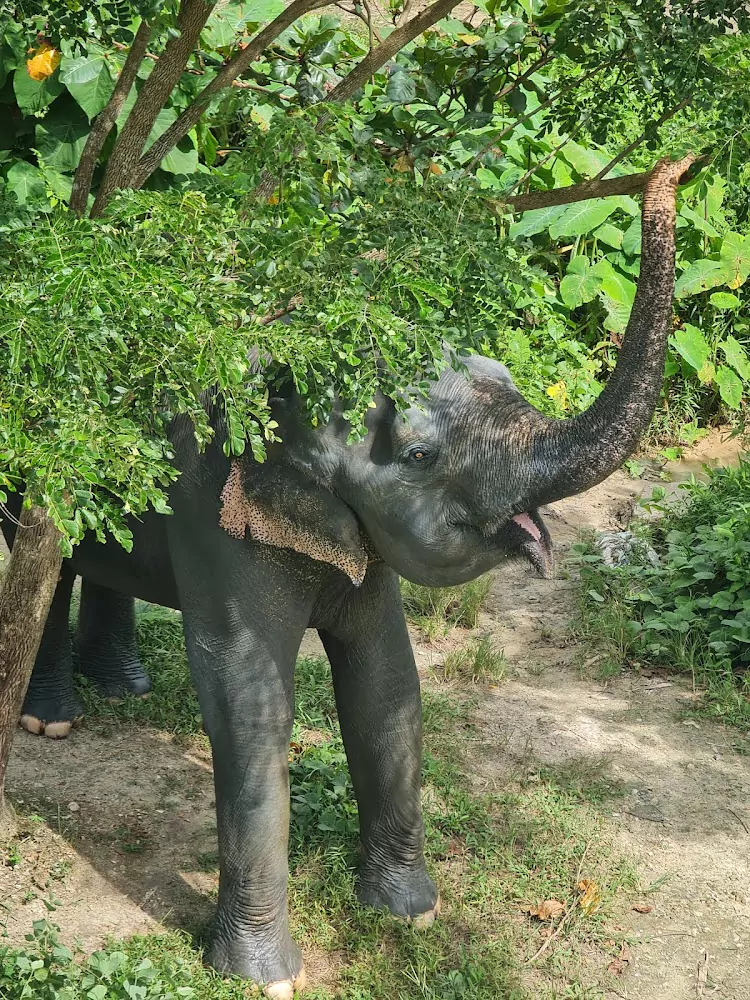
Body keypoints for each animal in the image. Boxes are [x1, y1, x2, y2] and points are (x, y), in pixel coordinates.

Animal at [0, 156, 692, 998]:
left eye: (503, 373)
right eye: (421, 454)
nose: (672, 169)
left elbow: (387, 681)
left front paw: (412, 915)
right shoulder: (216, 499)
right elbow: (247, 701)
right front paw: (264, 979)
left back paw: (123, 688)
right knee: (43, 560)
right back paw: (51, 721)